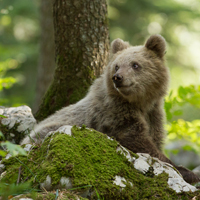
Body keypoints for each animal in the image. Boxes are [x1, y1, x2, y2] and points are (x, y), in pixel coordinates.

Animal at [21, 34, 199, 184]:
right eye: (117, 66)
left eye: (135, 65)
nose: (118, 78)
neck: (139, 102)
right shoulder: (115, 113)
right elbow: (137, 140)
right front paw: (186, 171)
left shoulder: (154, 114)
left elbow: (154, 137)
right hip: (47, 132)